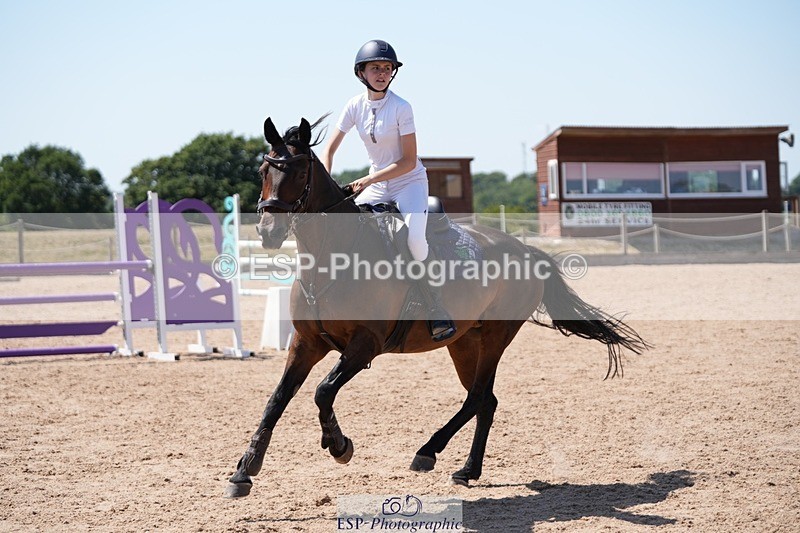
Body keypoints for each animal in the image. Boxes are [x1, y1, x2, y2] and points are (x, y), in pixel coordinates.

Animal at [224, 116, 649, 498]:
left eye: (299, 172)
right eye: (263, 170)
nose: (267, 231)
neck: (333, 257)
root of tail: (524, 249)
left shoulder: (365, 345)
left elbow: (323, 391)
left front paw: (339, 445)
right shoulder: (306, 343)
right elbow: (277, 400)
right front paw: (245, 470)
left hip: (496, 336)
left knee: (478, 397)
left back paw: (428, 452)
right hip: (464, 342)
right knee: (486, 400)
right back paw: (467, 470)